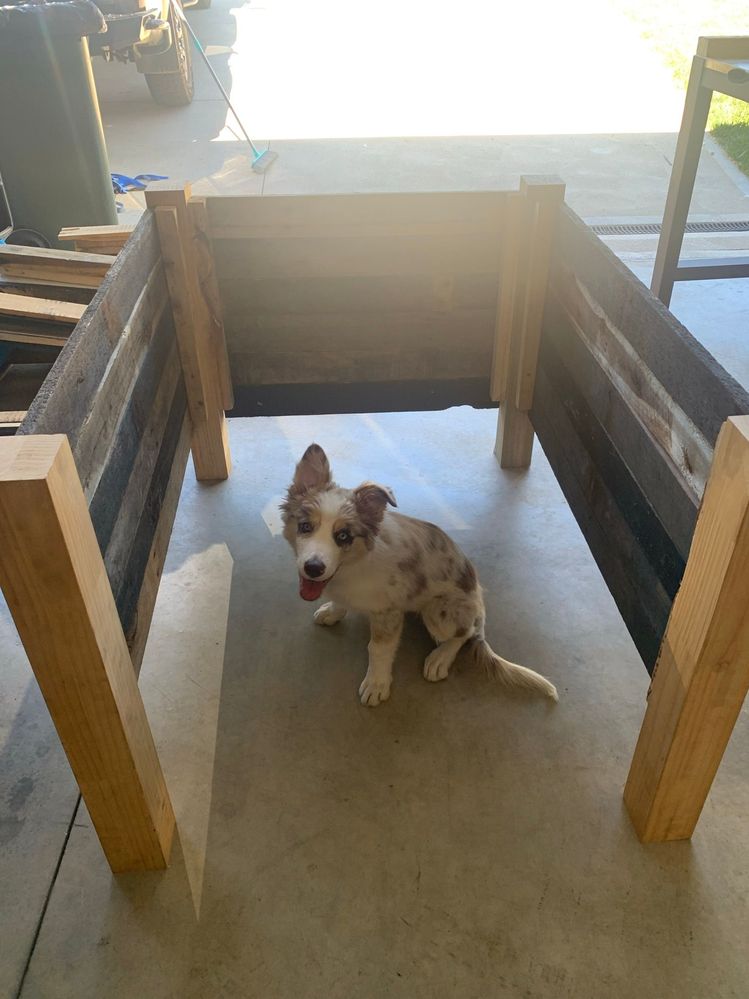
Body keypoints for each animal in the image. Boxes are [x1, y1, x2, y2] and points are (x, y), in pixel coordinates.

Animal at [280, 442, 556, 708]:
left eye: (343, 536)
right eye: (305, 526)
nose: (313, 568)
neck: (354, 565)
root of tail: (480, 607)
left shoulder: (388, 613)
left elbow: (378, 649)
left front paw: (376, 684)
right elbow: (340, 601)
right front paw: (332, 611)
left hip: (439, 612)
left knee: (464, 633)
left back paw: (440, 658)